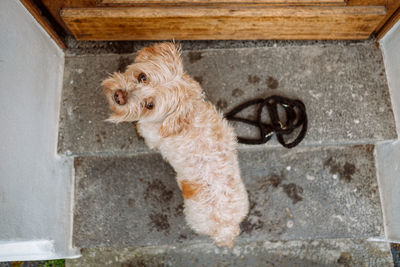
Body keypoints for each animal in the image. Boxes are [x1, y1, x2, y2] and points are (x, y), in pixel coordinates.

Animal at [101, 42, 248, 249]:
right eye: (142, 76)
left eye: (150, 105)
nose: (119, 97)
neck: (186, 117)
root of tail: (227, 229)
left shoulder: (152, 136)